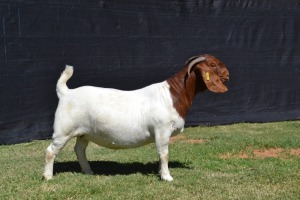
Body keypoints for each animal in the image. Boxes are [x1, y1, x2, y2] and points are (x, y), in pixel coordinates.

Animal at [42, 54, 230, 181]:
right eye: (212, 64)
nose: (227, 74)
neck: (173, 94)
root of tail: (66, 92)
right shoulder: (162, 130)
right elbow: (164, 154)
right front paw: (167, 177)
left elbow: (160, 154)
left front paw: (160, 173)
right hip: (63, 130)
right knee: (51, 151)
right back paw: (48, 176)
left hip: (84, 132)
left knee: (79, 150)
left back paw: (89, 172)